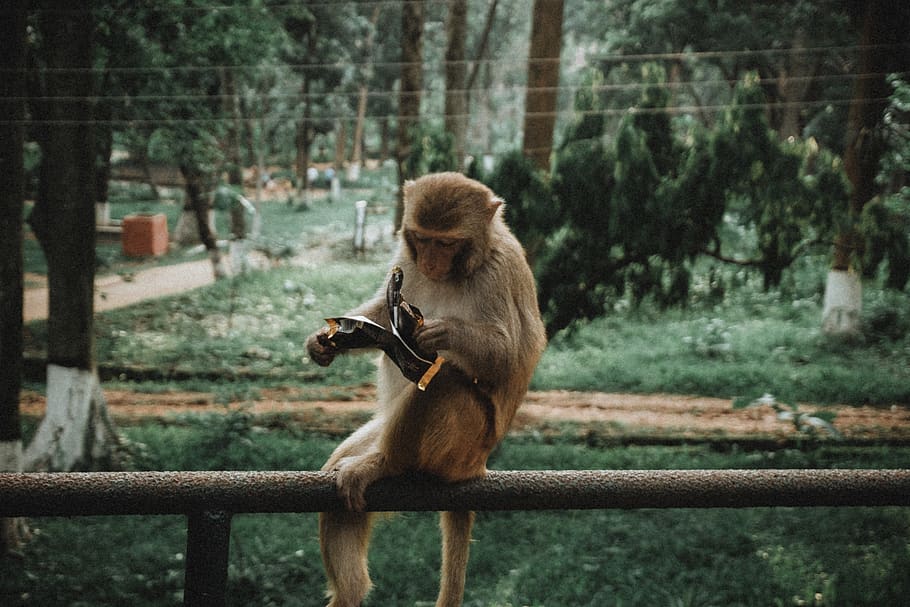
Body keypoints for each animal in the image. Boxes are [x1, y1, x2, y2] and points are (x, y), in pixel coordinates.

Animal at [305, 172, 547, 607]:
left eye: (446, 243)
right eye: (423, 238)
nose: (432, 262)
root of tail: (477, 465)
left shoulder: (499, 270)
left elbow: (511, 354)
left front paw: (439, 332)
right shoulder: (406, 263)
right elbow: (383, 312)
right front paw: (322, 342)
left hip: (461, 447)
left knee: (444, 381)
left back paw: (384, 464)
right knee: (339, 483)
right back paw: (349, 591)